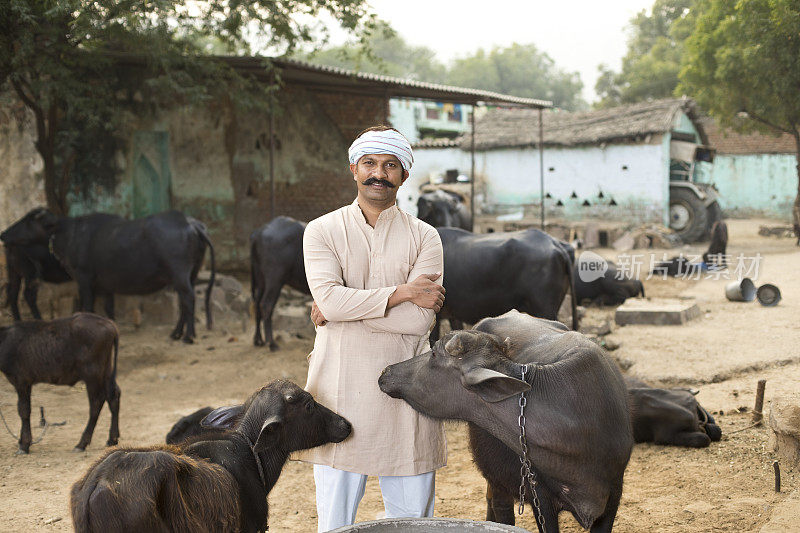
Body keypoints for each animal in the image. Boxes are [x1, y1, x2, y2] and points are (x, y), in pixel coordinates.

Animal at [0, 207, 216, 340]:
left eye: (28, 221)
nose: (3, 233)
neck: (70, 235)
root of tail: (191, 223)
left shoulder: (84, 279)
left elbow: (87, 307)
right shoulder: (105, 286)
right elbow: (108, 309)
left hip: (180, 274)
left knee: (188, 299)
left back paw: (188, 336)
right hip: (190, 274)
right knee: (184, 301)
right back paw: (176, 333)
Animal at [0, 312, 119, 454]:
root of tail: (109, 324)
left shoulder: (22, 382)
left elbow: (23, 410)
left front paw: (24, 444)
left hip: (92, 374)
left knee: (96, 402)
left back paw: (81, 444)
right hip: (106, 370)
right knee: (113, 396)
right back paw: (112, 439)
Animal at [250, 216, 310, 350]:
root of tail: (259, 233)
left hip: (261, 280)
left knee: (257, 305)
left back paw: (258, 340)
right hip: (275, 280)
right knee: (266, 305)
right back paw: (271, 343)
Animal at [380, 310, 632, 528]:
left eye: (433, 353)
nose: (385, 371)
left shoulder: (614, 495)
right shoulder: (540, 495)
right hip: (493, 470)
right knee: (498, 503)